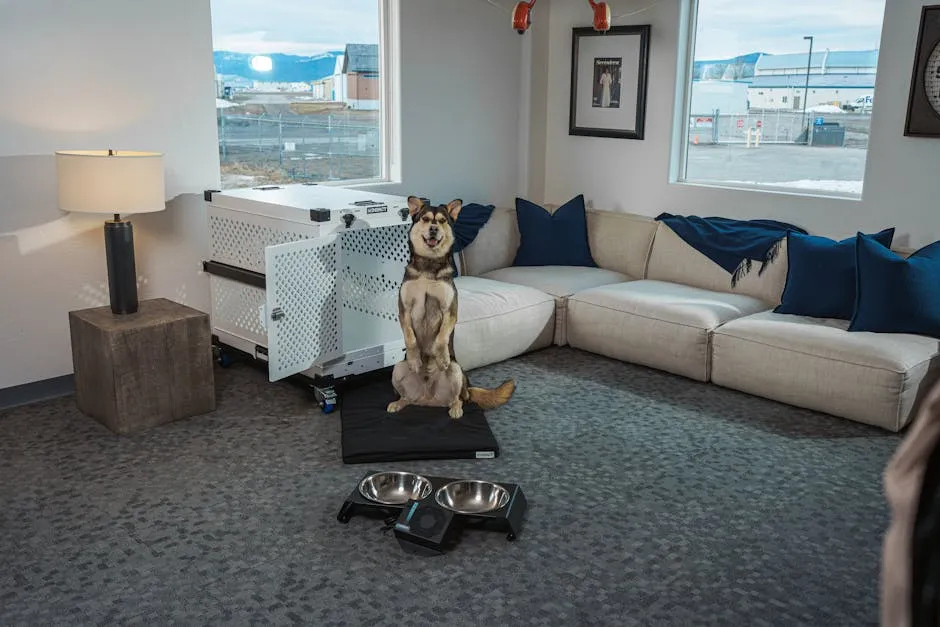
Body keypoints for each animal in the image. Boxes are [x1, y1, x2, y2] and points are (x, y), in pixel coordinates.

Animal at [388, 196, 516, 422]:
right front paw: (415, 359)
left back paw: (456, 409)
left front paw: (441, 358)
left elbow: (441, 338)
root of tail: (428, 399)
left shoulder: (450, 310)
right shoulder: (404, 310)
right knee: (407, 397)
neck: (429, 265)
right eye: (425, 219)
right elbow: (410, 338)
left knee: (457, 399)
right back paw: (399, 402)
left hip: (457, 372)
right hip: (397, 369)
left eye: (441, 221)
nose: (433, 229)